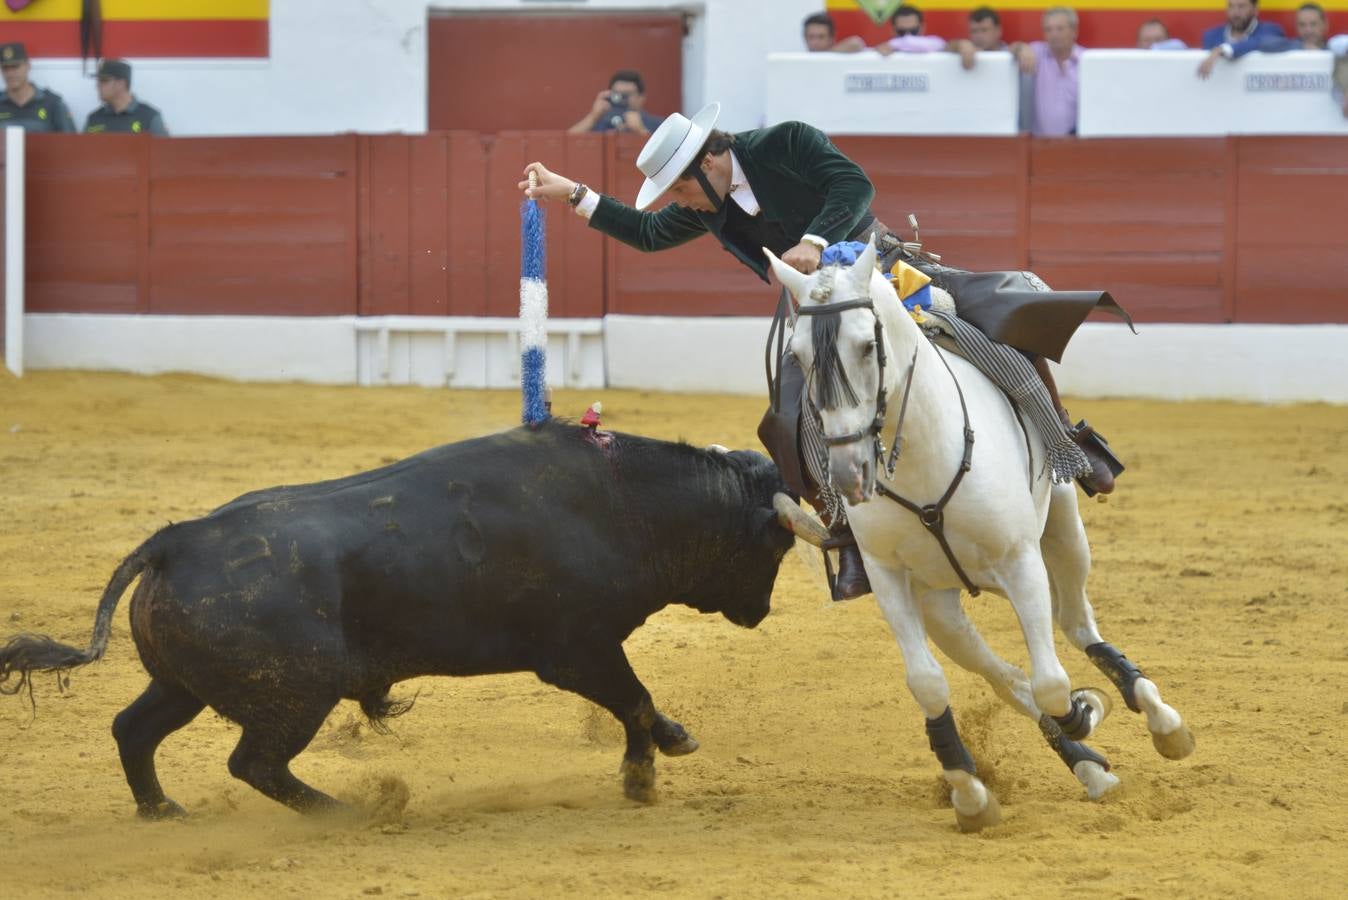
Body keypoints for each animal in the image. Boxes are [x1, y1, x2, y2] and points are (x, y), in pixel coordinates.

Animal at [0, 423, 798, 813]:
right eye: (779, 542)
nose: (759, 613)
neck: (628, 502)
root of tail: (176, 539)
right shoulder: (578, 649)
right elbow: (632, 700)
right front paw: (645, 774)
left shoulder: (589, 651)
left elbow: (638, 703)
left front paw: (667, 748)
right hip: (297, 691)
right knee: (254, 762)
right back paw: (354, 811)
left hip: (183, 685)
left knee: (134, 730)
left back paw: (162, 810)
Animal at [765, 237, 1197, 829]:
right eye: (800, 356)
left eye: (866, 346)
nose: (850, 475)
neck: (923, 457)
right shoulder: (888, 576)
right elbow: (931, 683)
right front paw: (970, 793)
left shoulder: (1019, 559)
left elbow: (1053, 683)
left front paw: (1087, 710)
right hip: (941, 604)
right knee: (1004, 675)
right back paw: (1089, 769)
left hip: (1063, 530)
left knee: (1075, 623)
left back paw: (1161, 721)